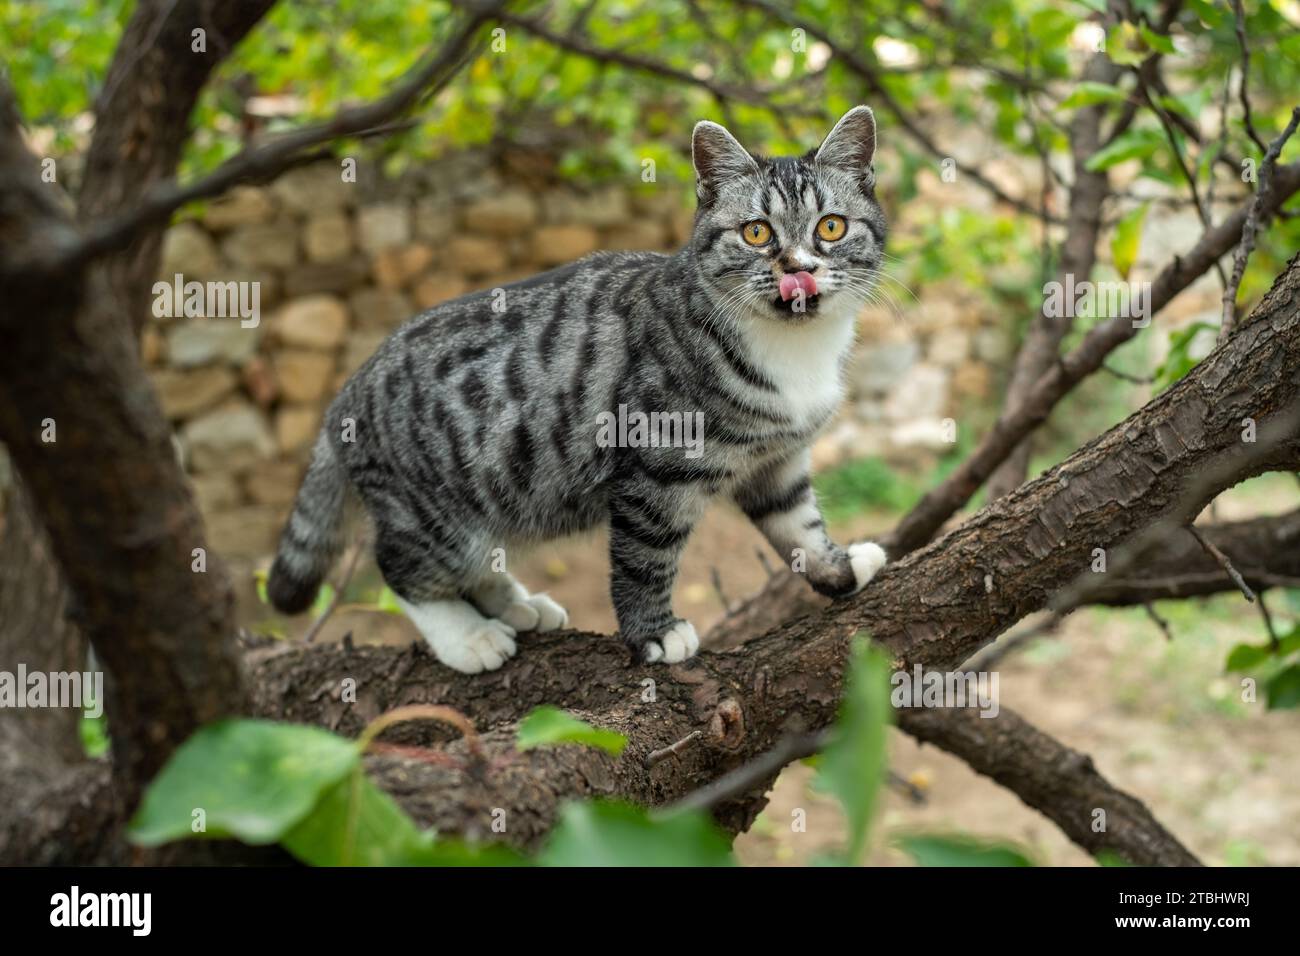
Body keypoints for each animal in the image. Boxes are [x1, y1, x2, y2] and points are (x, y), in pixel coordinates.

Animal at [269, 106, 889, 671]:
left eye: (831, 226)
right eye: (756, 232)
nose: (797, 265)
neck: (794, 352)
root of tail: (349, 391)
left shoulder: (777, 460)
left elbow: (798, 525)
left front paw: (838, 569)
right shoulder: (653, 470)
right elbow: (644, 557)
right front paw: (654, 634)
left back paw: (514, 605)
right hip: (432, 511)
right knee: (402, 566)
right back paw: (468, 637)